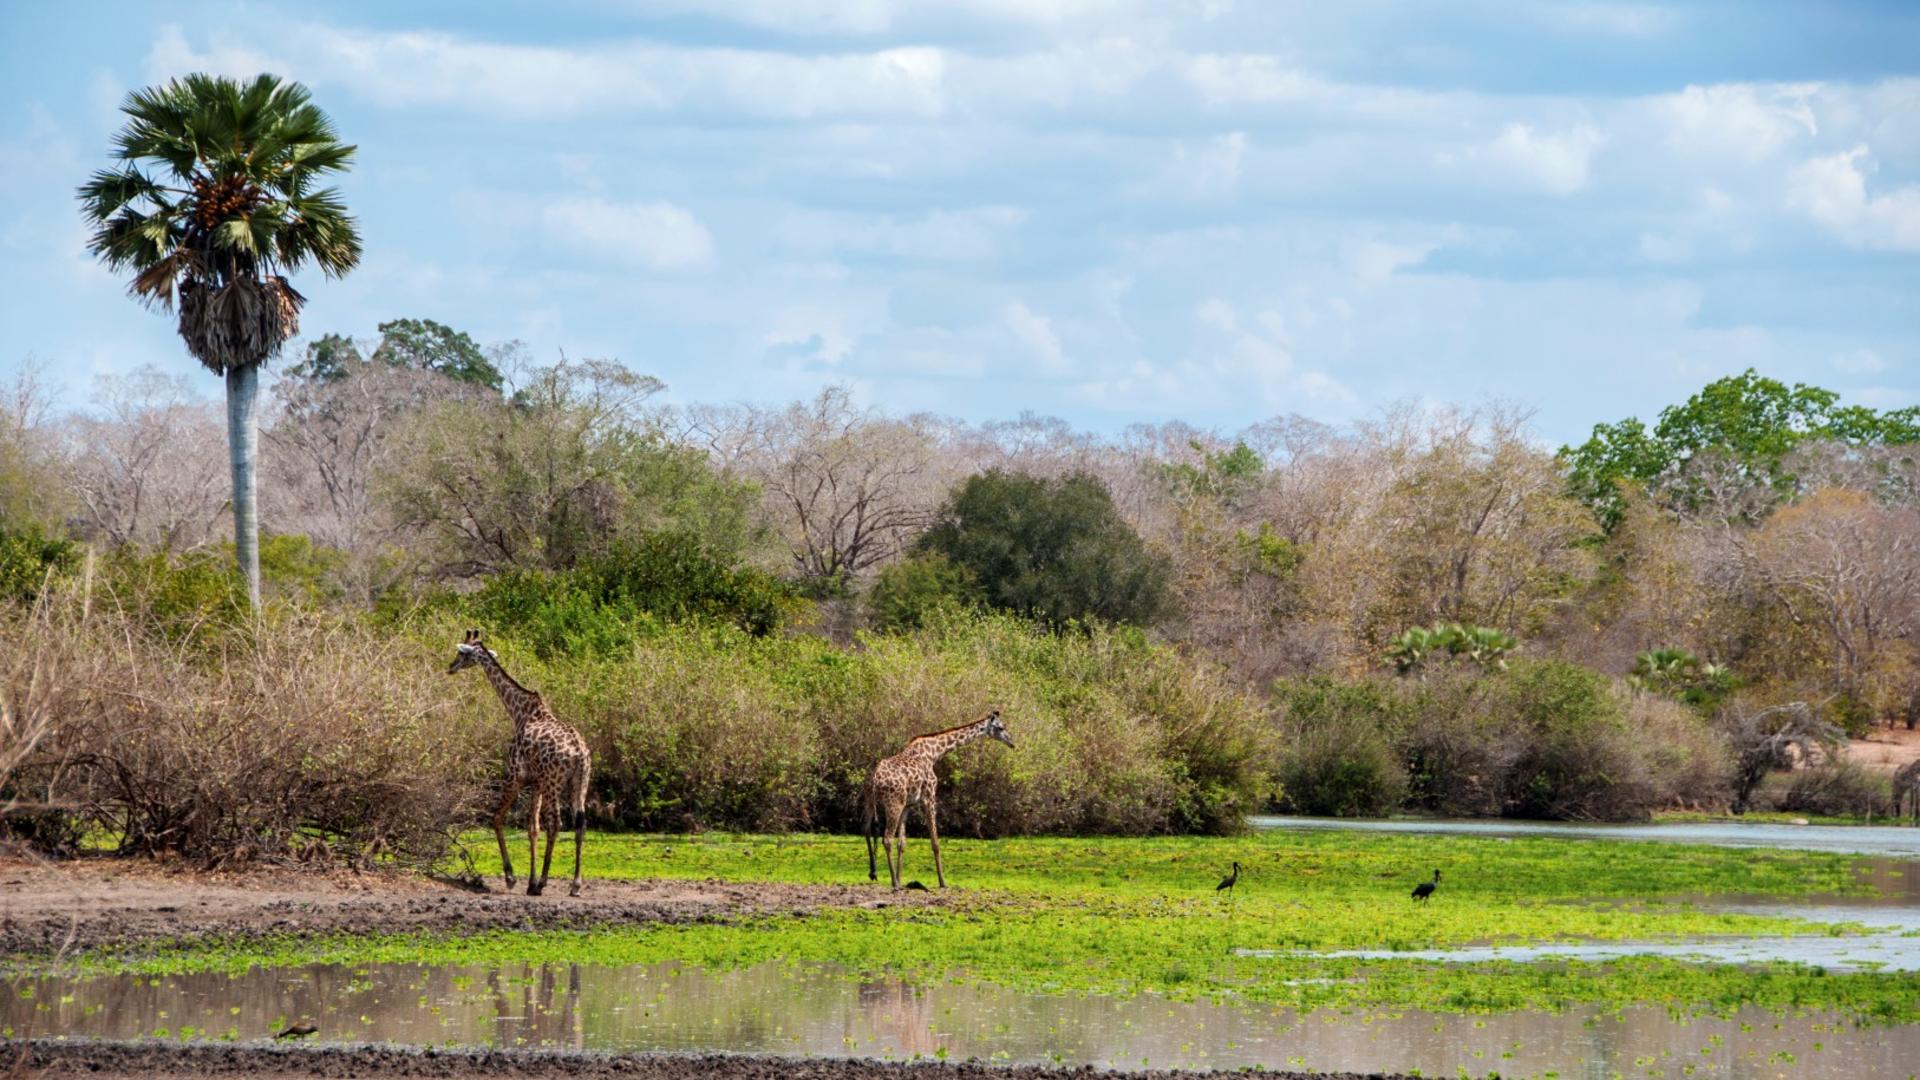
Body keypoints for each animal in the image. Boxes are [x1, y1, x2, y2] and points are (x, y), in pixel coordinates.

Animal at [445, 626, 587, 895]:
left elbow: (497, 817)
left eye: (461, 652)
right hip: (580, 781)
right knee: (579, 823)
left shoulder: (515, 776)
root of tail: (578, 752)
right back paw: (574, 884)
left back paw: (543, 883)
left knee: (556, 822)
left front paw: (513, 878)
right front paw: (529, 882)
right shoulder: (536, 783)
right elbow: (533, 828)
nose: (450, 667)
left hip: (554, 782)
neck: (519, 712)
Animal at [867, 703, 1021, 887]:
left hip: (872, 803)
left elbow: (902, 843)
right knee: (886, 838)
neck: (935, 752)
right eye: (1000, 727)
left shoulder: (908, 805)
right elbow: (935, 842)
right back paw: (893, 883)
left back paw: (874, 873)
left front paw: (900, 878)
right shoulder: (929, 797)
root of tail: (875, 779)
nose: (1012, 743)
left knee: (868, 832)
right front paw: (942, 881)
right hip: (892, 803)